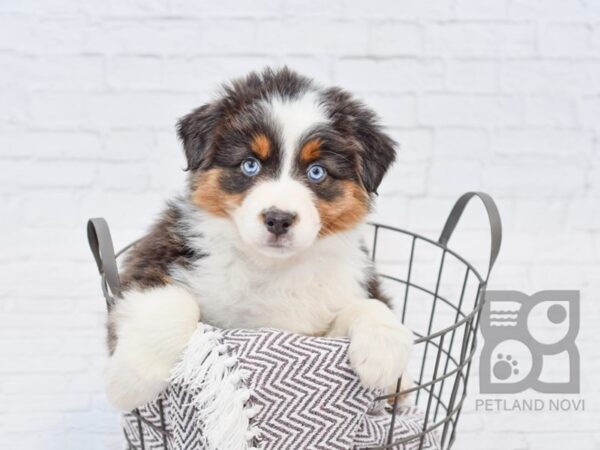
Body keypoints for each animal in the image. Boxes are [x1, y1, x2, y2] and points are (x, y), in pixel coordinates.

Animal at [106, 67, 412, 412]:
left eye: (317, 172)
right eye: (250, 164)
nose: (278, 219)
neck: (269, 267)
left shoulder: (325, 316)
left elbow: (370, 305)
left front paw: (385, 354)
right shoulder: (157, 254)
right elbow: (169, 301)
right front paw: (131, 380)